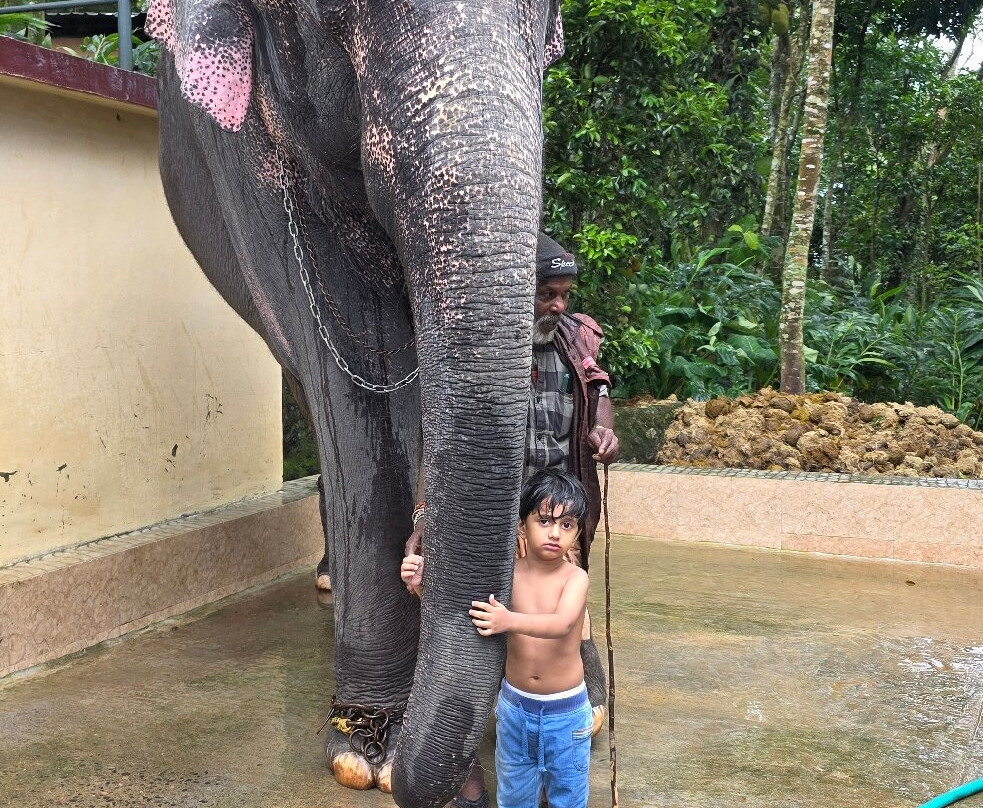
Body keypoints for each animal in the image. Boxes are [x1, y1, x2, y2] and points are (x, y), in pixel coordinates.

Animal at [146, 1, 569, 806]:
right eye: (333, 11)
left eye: (545, 23)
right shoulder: (244, 159)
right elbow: (351, 362)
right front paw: (367, 749)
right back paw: (327, 583)